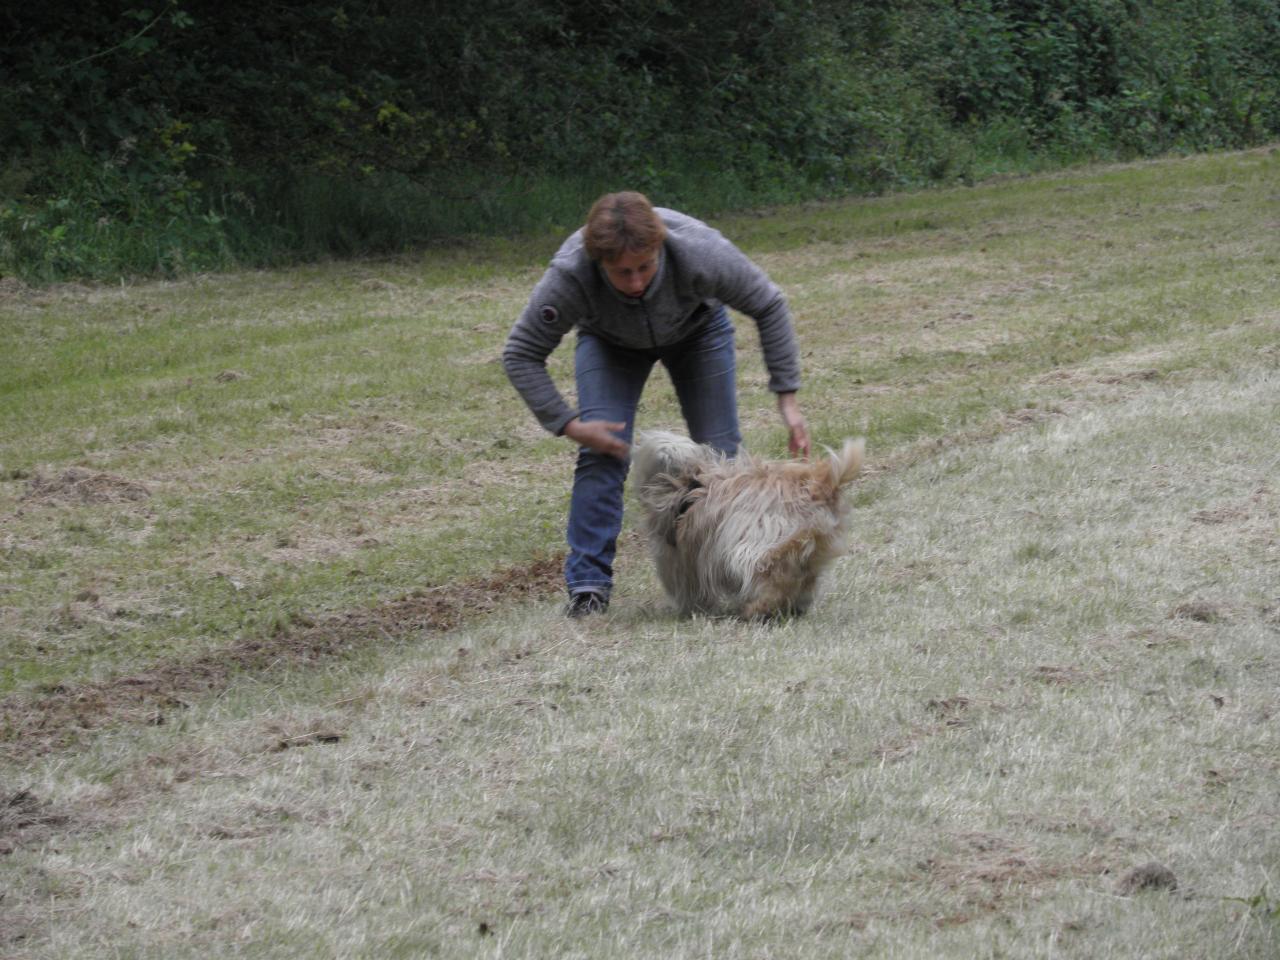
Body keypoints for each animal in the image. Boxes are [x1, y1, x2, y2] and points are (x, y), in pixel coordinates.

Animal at [632, 432, 865, 619]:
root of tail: (820, 487)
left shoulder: (678, 560)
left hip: (755, 543)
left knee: (766, 572)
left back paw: (759, 608)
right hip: (810, 552)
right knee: (801, 578)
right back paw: (790, 605)